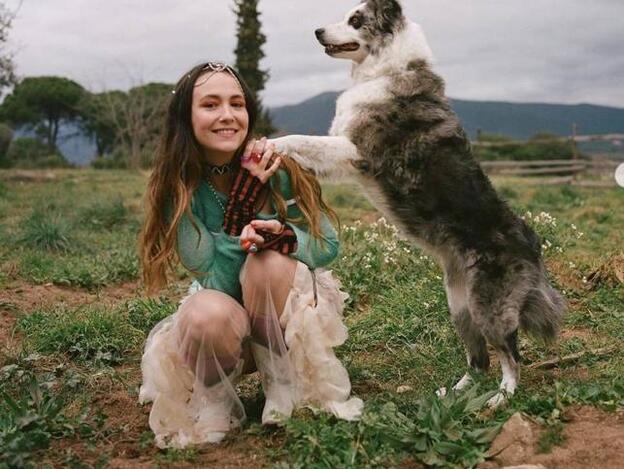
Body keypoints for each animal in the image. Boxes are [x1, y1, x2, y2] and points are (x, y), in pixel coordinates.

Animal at [270, 0, 564, 406]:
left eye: (355, 20)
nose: (316, 31)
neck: (385, 68)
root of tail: (532, 242)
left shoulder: (356, 151)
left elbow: (300, 139)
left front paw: (267, 144)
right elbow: (306, 148)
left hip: (488, 307)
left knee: (510, 355)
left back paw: (501, 397)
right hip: (459, 305)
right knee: (479, 359)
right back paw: (454, 394)